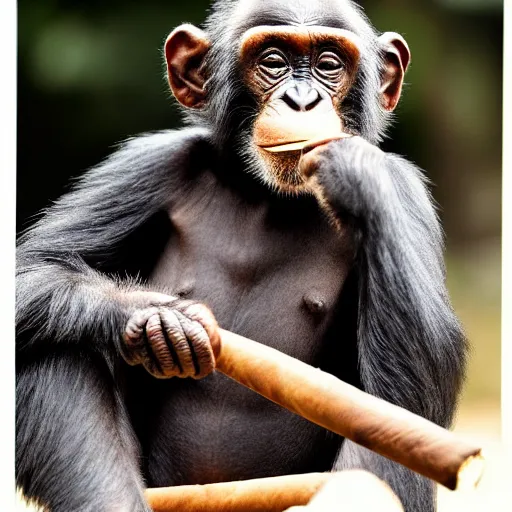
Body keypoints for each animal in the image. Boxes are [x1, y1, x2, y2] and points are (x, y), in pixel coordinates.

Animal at [16, 1, 466, 512]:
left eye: (329, 64)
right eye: (272, 61)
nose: (302, 99)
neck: (267, 195)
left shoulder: (406, 191)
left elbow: (419, 381)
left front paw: (355, 167)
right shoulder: (146, 166)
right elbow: (32, 266)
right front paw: (157, 319)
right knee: (55, 344)